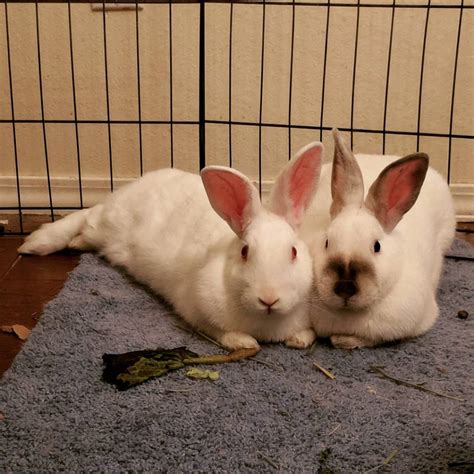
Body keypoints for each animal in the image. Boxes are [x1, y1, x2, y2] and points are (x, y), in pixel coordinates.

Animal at [17, 143, 322, 350]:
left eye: (293, 252)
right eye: (245, 252)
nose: (269, 299)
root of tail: (138, 182)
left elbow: (306, 334)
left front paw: (300, 340)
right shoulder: (194, 308)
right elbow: (220, 332)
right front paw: (245, 343)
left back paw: (72, 242)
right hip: (107, 221)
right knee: (86, 213)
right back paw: (36, 243)